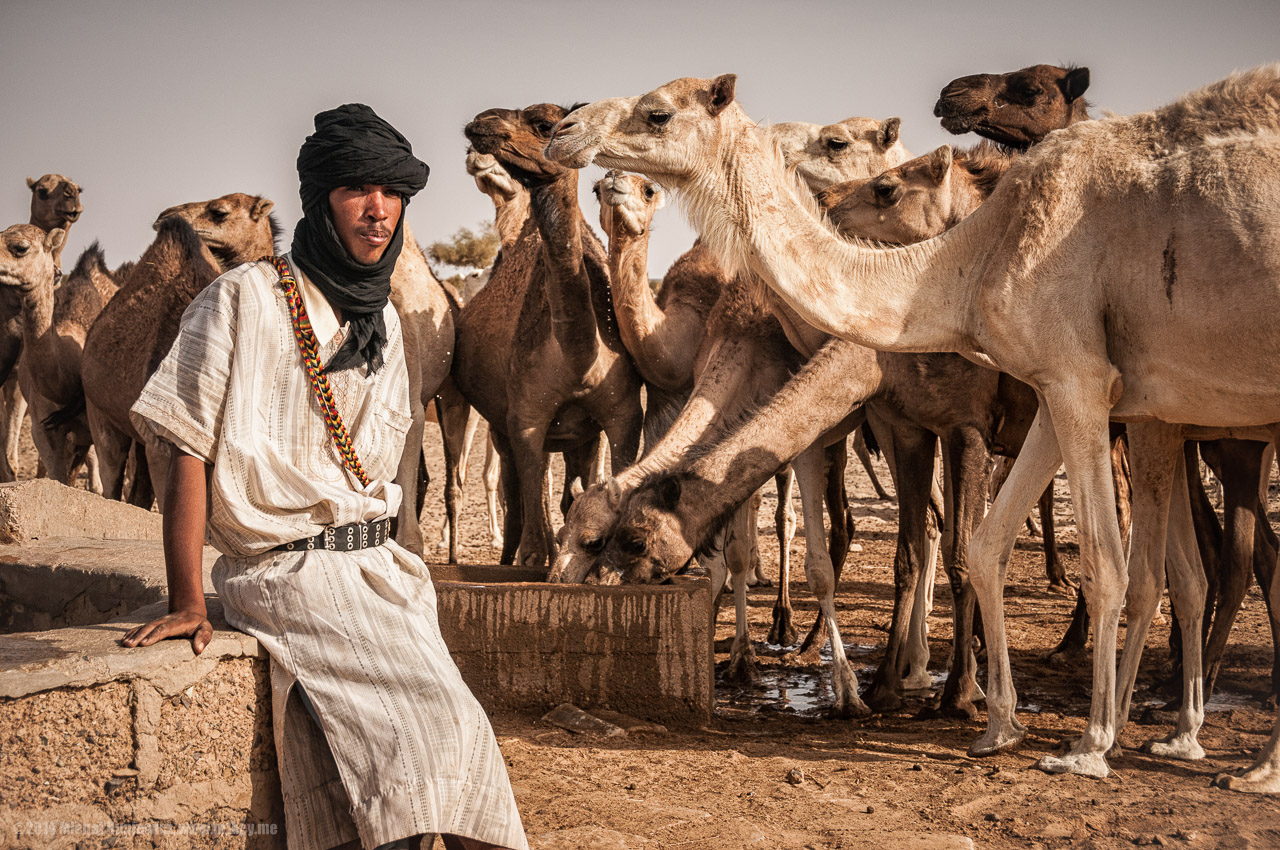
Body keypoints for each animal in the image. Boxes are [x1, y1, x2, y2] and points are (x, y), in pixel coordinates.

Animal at [453, 102, 644, 568]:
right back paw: (509, 554)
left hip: (579, 437)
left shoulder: (624, 415)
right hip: (501, 425)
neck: (579, 356)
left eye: (543, 124)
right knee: (520, 487)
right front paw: (536, 557)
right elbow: (531, 500)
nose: (480, 123)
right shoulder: (524, 416)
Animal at [546, 68, 1280, 783]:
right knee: (1184, 565)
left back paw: (1210, 743)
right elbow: (947, 547)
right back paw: (1181, 729)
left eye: (658, 111)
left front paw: (1011, 716)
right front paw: (950, 704)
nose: (565, 126)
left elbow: (997, 551)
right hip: (1173, 420)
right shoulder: (940, 414)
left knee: (1199, 553)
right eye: (581, 534)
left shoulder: (1020, 402)